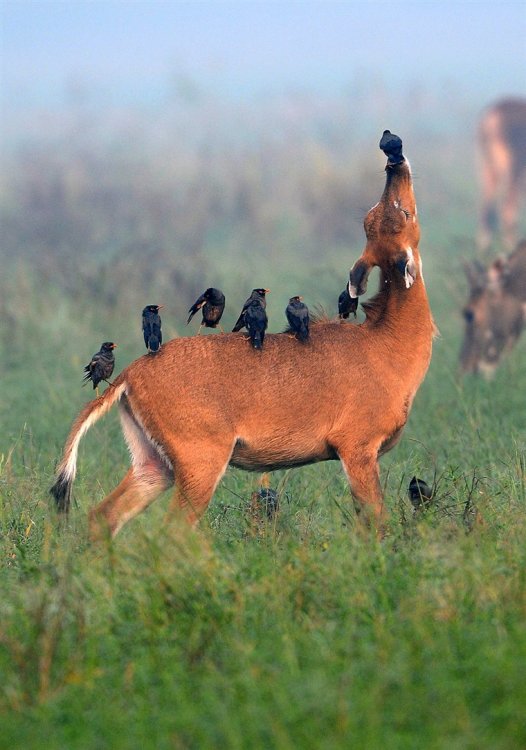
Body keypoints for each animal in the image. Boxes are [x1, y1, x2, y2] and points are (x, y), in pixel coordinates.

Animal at [50, 132, 438, 536]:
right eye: (404, 212)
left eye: (379, 215)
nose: (394, 162)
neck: (385, 343)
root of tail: (128, 375)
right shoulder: (358, 449)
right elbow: (375, 521)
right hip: (200, 461)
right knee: (173, 530)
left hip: (153, 464)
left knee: (102, 515)